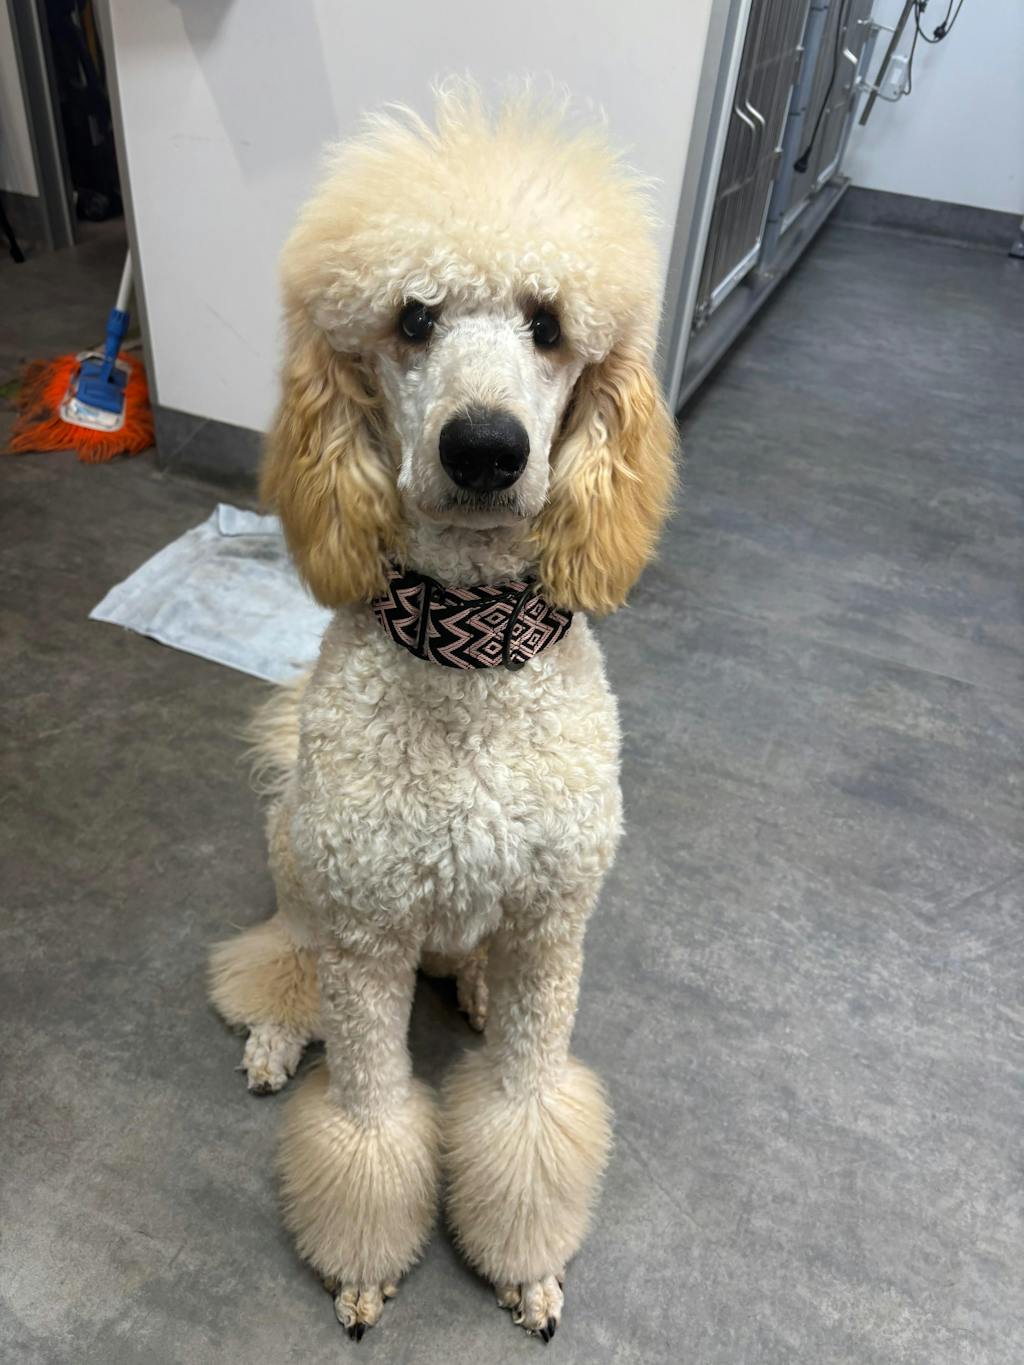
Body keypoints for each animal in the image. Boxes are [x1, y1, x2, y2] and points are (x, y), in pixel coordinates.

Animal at [209, 83, 677, 1341]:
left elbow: (524, 1113)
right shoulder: (366, 940)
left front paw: (525, 1266)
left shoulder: (552, 932)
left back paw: (464, 982)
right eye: (413, 318)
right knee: (282, 954)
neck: (468, 655)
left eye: (547, 324)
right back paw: (277, 1030)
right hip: (299, 860)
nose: (484, 448)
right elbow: (368, 1125)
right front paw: (364, 1265)